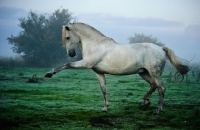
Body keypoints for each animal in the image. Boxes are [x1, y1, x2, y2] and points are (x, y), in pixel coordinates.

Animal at [44, 22, 190, 114]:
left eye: (68, 37)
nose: (71, 54)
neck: (95, 44)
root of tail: (160, 48)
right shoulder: (98, 72)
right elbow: (103, 89)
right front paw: (105, 108)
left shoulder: (85, 63)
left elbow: (66, 65)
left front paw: (49, 73)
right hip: (144, 73)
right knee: (154, 86)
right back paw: (146, 102)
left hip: (155, 73)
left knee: (161, 88)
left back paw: (158, 110)